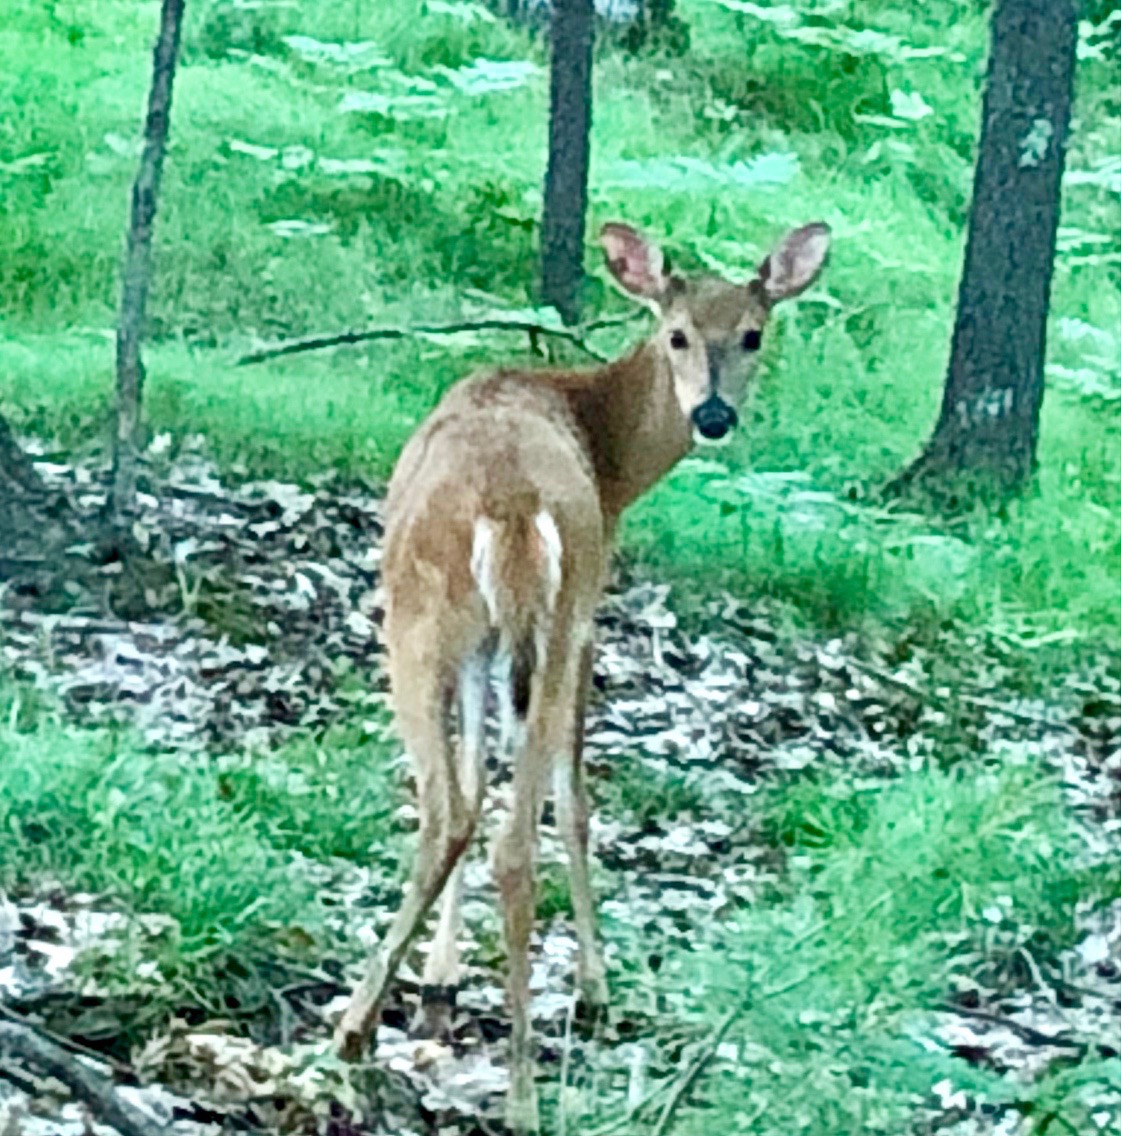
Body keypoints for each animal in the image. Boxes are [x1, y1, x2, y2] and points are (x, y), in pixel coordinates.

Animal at [334, 219, 831, 1134]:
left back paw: (387, 1036)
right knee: (490, 823)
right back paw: (480, 1069)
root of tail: (509, 508)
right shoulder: (564, 625)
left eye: (752, 333)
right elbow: (547, 791)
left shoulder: (515, 640)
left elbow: (495, 782)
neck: (607, 456)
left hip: (441, 626)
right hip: (525, 627)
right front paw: (542, 987)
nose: (713, 414)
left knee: (461, 816)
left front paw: (444, 983)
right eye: (676, 334)